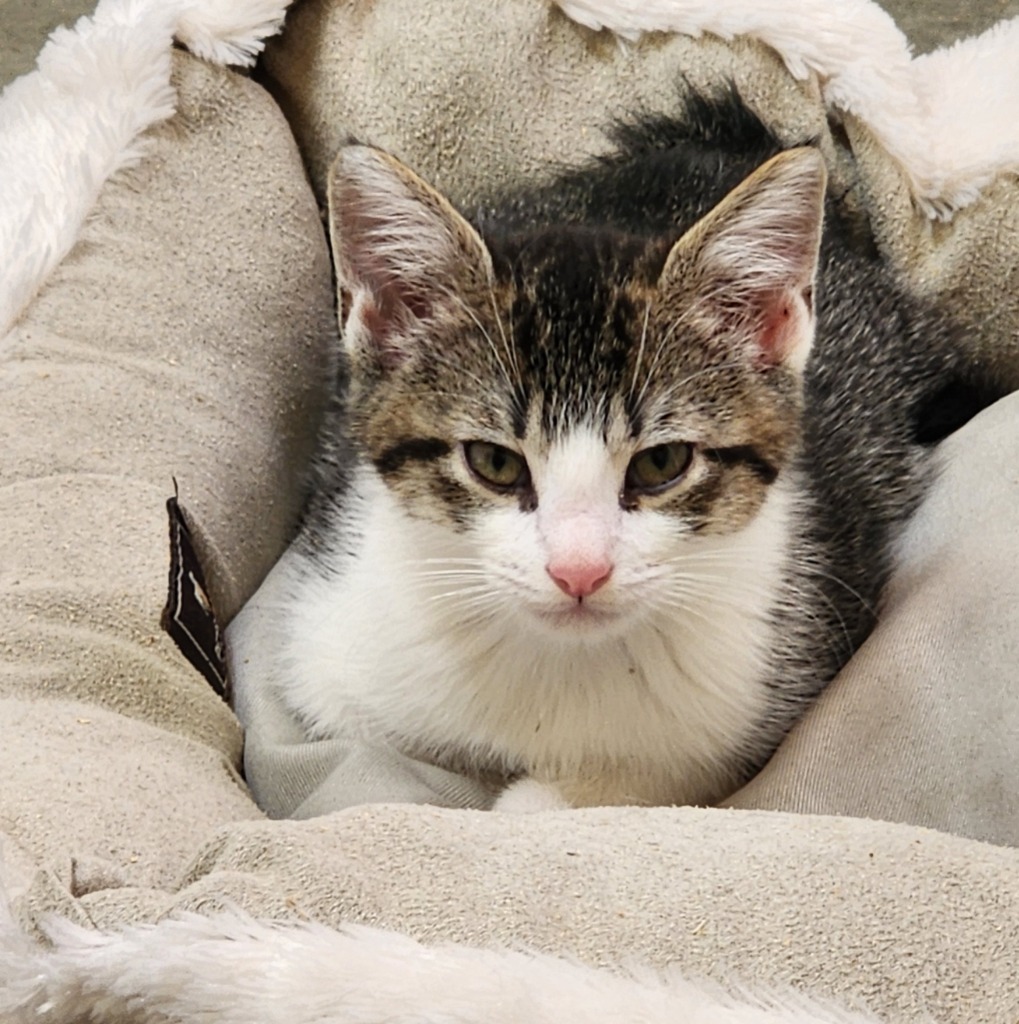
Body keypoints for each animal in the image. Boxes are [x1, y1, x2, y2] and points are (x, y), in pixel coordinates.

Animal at [229, 92, 987, 811]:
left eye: (661, 464)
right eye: (494, 463)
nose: (579, 572)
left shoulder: (751, 703)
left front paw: (539, 796)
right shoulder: (330, 652)